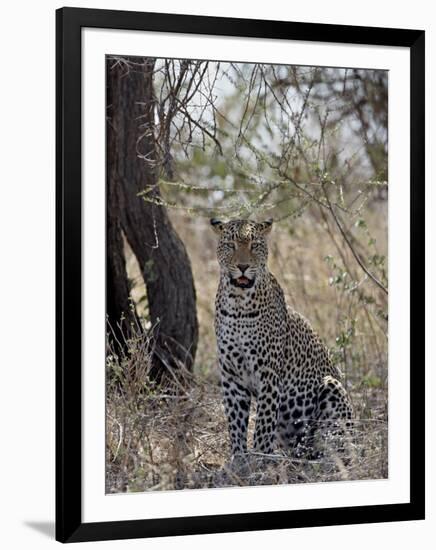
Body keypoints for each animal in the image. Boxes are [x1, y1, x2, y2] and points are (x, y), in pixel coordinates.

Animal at [209, 218, 352, 460]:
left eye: (255, 245)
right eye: (230, 245)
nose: (243, 266)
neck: (238, 303)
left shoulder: (268, 373)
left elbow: (264, 423)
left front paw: (260, 458)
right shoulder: (231, 375)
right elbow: (236, 422)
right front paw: (238, 459)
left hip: (332, 387)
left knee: (337, 444)